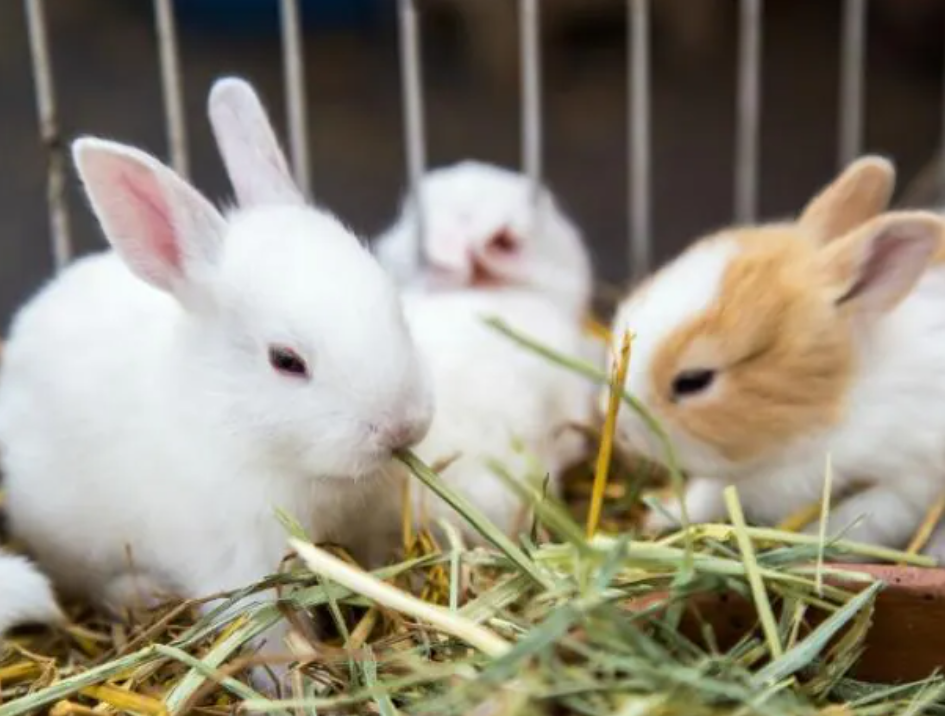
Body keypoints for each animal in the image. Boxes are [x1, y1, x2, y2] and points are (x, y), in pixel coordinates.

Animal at [0, 77, 433, 690]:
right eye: (286, 360)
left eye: (394, 302)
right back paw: (140, 593)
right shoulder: (240, 565)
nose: (403, 428)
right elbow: (266, 633)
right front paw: (295, 684)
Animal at [606, 154, 945, 551]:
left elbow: (858, 521)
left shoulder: (903, 483)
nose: (622, 433)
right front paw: (659, 516)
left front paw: (809, 542)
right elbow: (706, 496)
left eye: (693, 380)